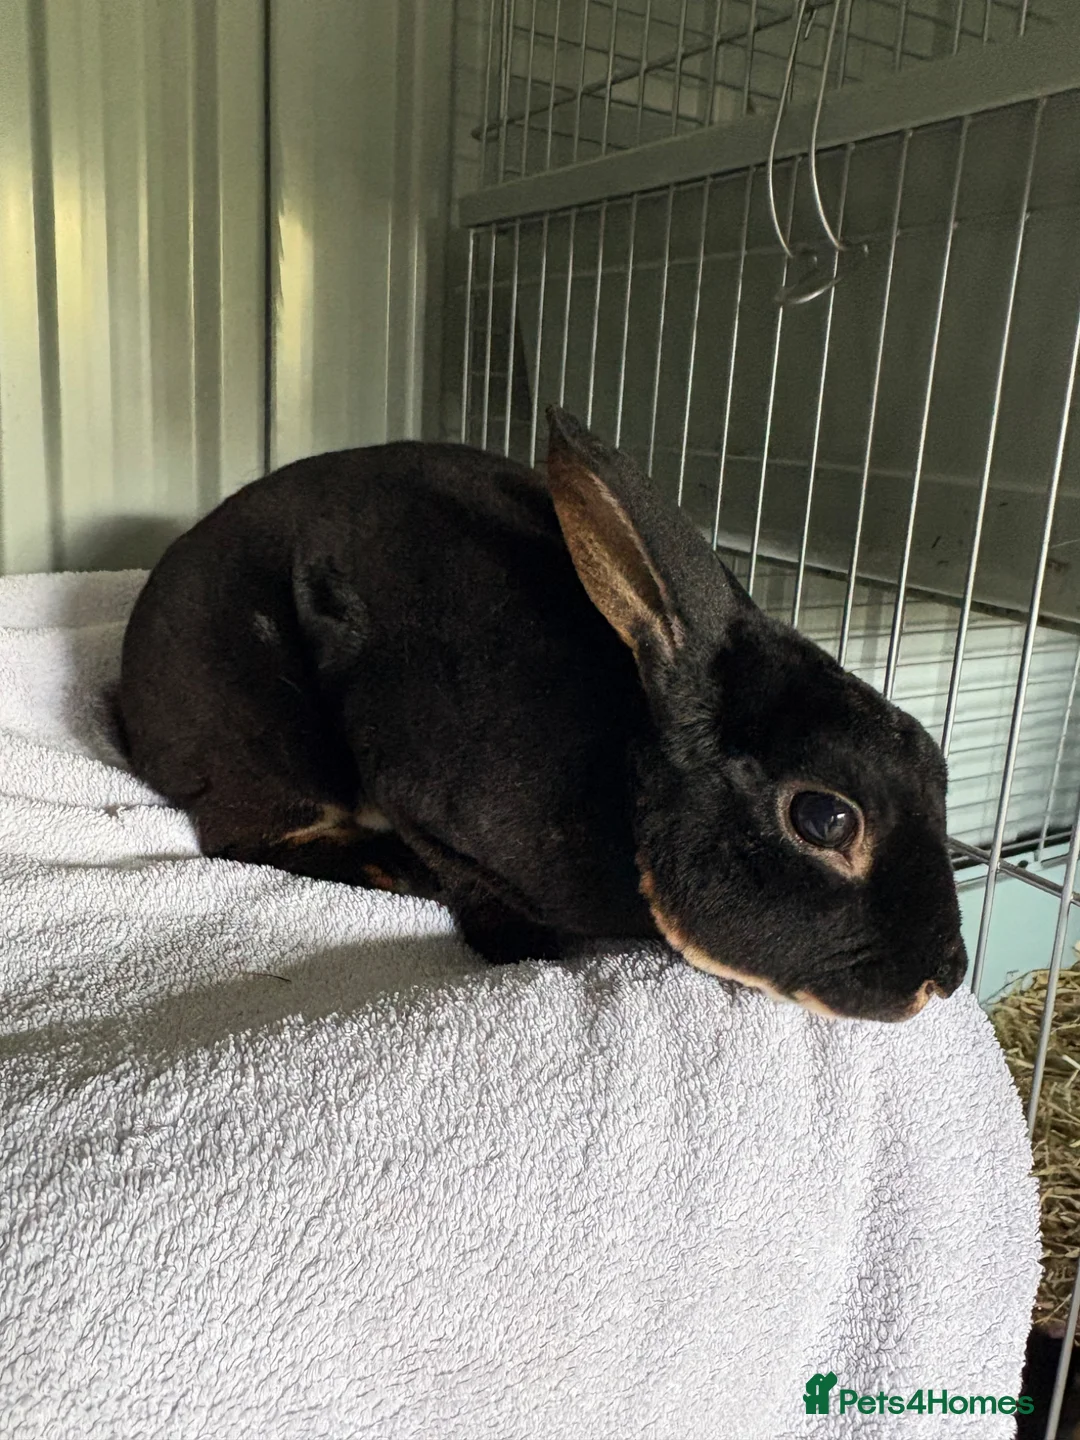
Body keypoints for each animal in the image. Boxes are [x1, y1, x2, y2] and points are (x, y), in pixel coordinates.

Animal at [119, 406, 967, 1022]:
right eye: (825, 819)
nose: (946, 977)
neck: (630, 785)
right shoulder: (417, 794)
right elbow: (464, 879)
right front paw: (527, 948)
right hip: (268, 741)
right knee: (242, 835)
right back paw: (384, 867)